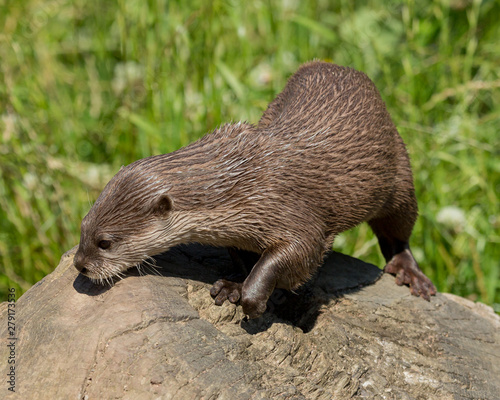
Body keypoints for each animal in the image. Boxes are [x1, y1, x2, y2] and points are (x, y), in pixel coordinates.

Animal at [72, 61, 436, 318]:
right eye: (82, 227)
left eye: (105, 242)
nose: (80, 265)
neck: (245, 184)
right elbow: (244, 256)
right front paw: (234, 286)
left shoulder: (295, 216)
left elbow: (295, 256)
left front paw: (253, 299)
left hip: (400, 180)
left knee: (398, 231)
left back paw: (411, 274)